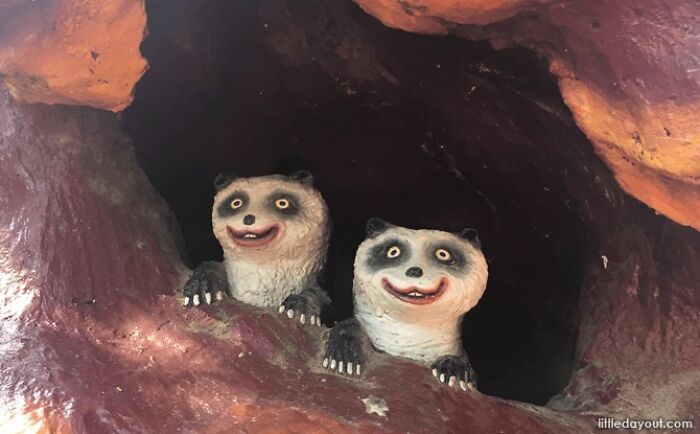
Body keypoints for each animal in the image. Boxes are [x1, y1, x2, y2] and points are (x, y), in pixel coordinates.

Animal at [182, 170, 330, 326]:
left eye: (282, 203)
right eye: (236, 203)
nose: (248, 219)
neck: (262, 264)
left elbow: (319, 295)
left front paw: (300, 309)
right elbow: (210, 266)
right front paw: (201, 288)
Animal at [323, 218, 488, 391]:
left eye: (443, 254)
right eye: (393, 251)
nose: (414, 271)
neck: (409, 333)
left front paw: (454, 371)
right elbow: (348, 325)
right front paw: (344, 357)